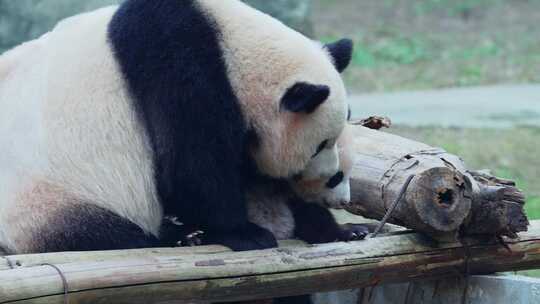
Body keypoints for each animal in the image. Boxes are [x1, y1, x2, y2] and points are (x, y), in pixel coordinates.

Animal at [0, 0, 354, 254]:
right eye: (321, 145)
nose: (333, 184)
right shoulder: (176, 64)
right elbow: (193, 167)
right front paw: (246, 233)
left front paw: (339, 228)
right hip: (49, 200)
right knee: (105, 232)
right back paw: (179, 236)